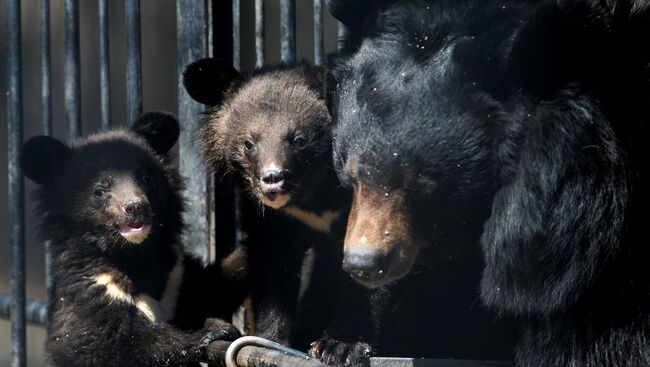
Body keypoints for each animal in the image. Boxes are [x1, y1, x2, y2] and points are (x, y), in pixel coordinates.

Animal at [22, 113, 242, 367]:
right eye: (99, 191)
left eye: (147, 180)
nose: (135, 207)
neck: (136, 254)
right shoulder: (92, 288)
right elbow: (108, 344)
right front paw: (214, 329)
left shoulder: (178, 276)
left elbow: (212, 285)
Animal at [180, 61, 350, 352]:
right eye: (248, 143)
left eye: (299, 140)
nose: (272, 179)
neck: (311, 194)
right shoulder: (268, 217)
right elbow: (273, 267)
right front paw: (273, 340)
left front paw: (340, 346)